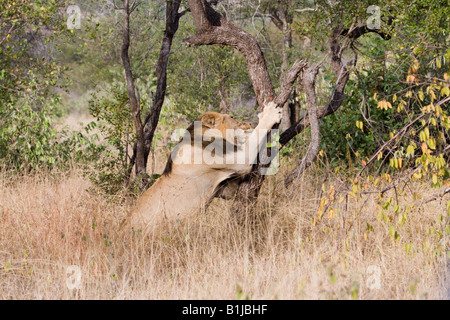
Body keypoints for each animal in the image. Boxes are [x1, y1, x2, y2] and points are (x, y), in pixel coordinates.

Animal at [123, 101, 282, 231]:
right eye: (232, 117)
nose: (249, 123)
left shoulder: (224, 189)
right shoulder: (240, 159)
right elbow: (257, 134)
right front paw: (269, 113)